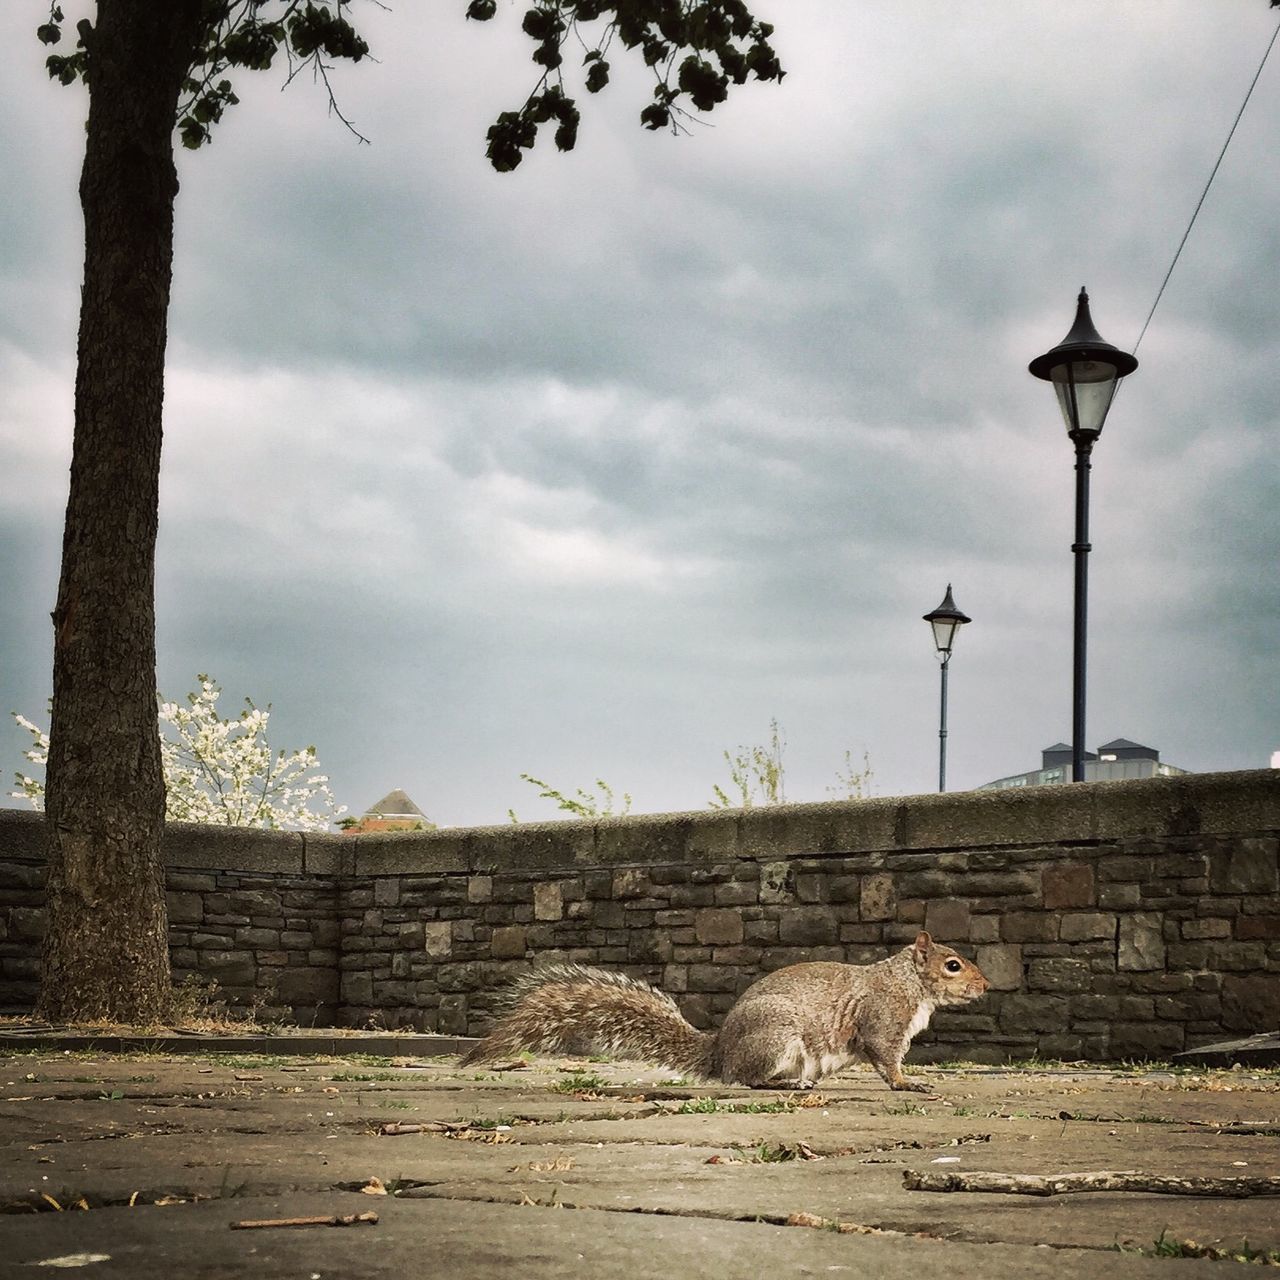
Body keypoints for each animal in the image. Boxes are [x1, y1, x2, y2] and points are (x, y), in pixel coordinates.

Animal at [460, 931, 988, 1090]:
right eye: (953, 965)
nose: (986, 984)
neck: (908, 983)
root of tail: (720, 1053)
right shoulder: (882, 1019)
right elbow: (886, 1058)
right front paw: (907, 1083)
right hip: (777, 1038)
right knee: (747, 1079)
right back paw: (787, 1084)